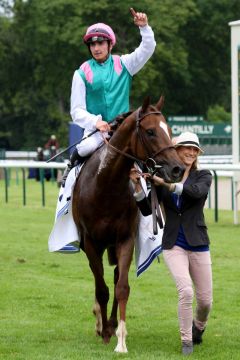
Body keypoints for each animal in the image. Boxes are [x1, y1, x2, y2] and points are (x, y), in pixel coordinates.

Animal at [71, 95, 184, 352]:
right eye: (150, 131)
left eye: (169, 129)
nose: (178, 168)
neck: (105, 186)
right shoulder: (91, 242)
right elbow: (101, 289)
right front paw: (104, 331)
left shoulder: (125, 239)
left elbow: (121, 287)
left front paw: (120, 338)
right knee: (99, 280)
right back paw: (100, 321)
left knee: (113, 278)